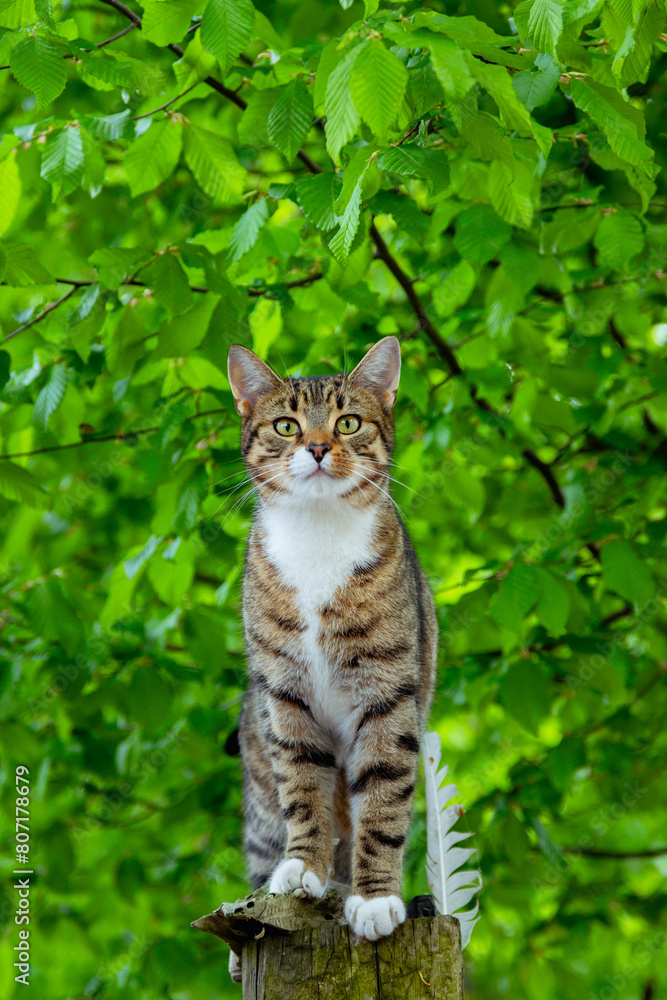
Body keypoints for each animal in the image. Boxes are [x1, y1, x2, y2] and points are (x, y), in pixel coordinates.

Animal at [227, 340, 440, 940]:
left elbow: (385, 797)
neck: (318, 535)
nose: (319, 446)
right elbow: (302, 783)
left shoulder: (388, 692)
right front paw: (304, 866)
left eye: (348, 422)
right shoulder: (284, 692)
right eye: (286, 424)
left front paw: (374, 899)